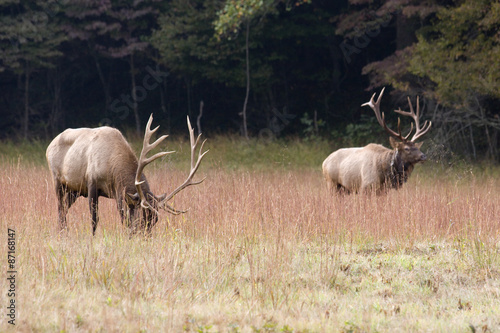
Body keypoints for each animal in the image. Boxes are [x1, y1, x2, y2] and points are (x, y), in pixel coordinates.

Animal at [44, 114, 205, 233]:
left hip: (74, 190)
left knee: (64, 208)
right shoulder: (91, 183)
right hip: (57, 180)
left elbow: (122, 216)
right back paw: (62, 232)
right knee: (60, 208)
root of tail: (49, 145)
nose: (144, 239)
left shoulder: (117, 191)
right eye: (142, 219)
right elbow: (94, 219)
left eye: (154, 220)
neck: (112, 168)